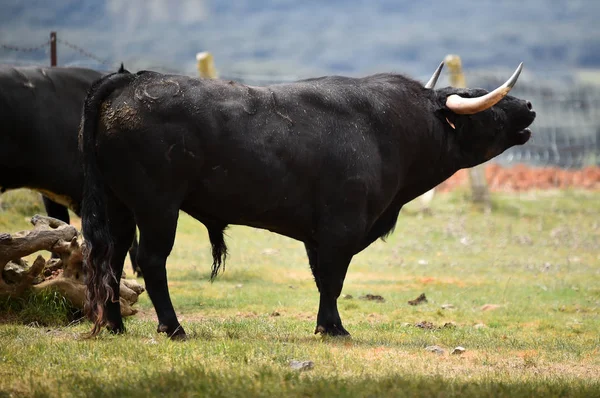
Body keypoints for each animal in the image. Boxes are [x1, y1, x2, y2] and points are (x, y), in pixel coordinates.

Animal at [79, 63, 536, 338]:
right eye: (487, 105)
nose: (529, 106)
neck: (390, 130)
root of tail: (128, 80)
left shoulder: (319, 236)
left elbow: (322, 279)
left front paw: (326, 326)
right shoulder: (342, 228)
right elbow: (333, 280)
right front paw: (335, 329)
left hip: (120, 207)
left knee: (112, 257)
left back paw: (116, 326)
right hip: (158, 207)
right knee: (150, 260)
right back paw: (173, 328)